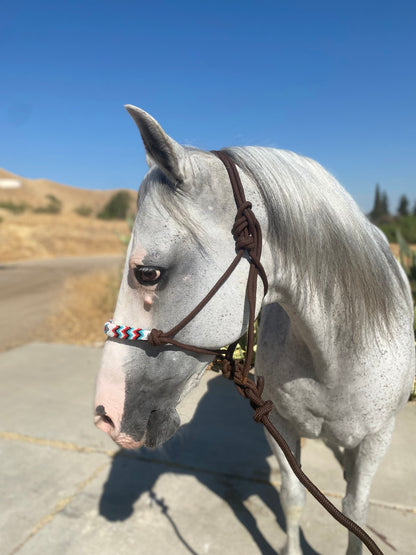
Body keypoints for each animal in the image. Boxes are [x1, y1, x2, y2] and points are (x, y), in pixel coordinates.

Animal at [96, 106, 414, 552]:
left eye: (148, 273)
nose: (105, 415)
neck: (336, 359)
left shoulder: (375, 440)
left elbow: (356, 514)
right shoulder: (280, 427)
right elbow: (293, 497)